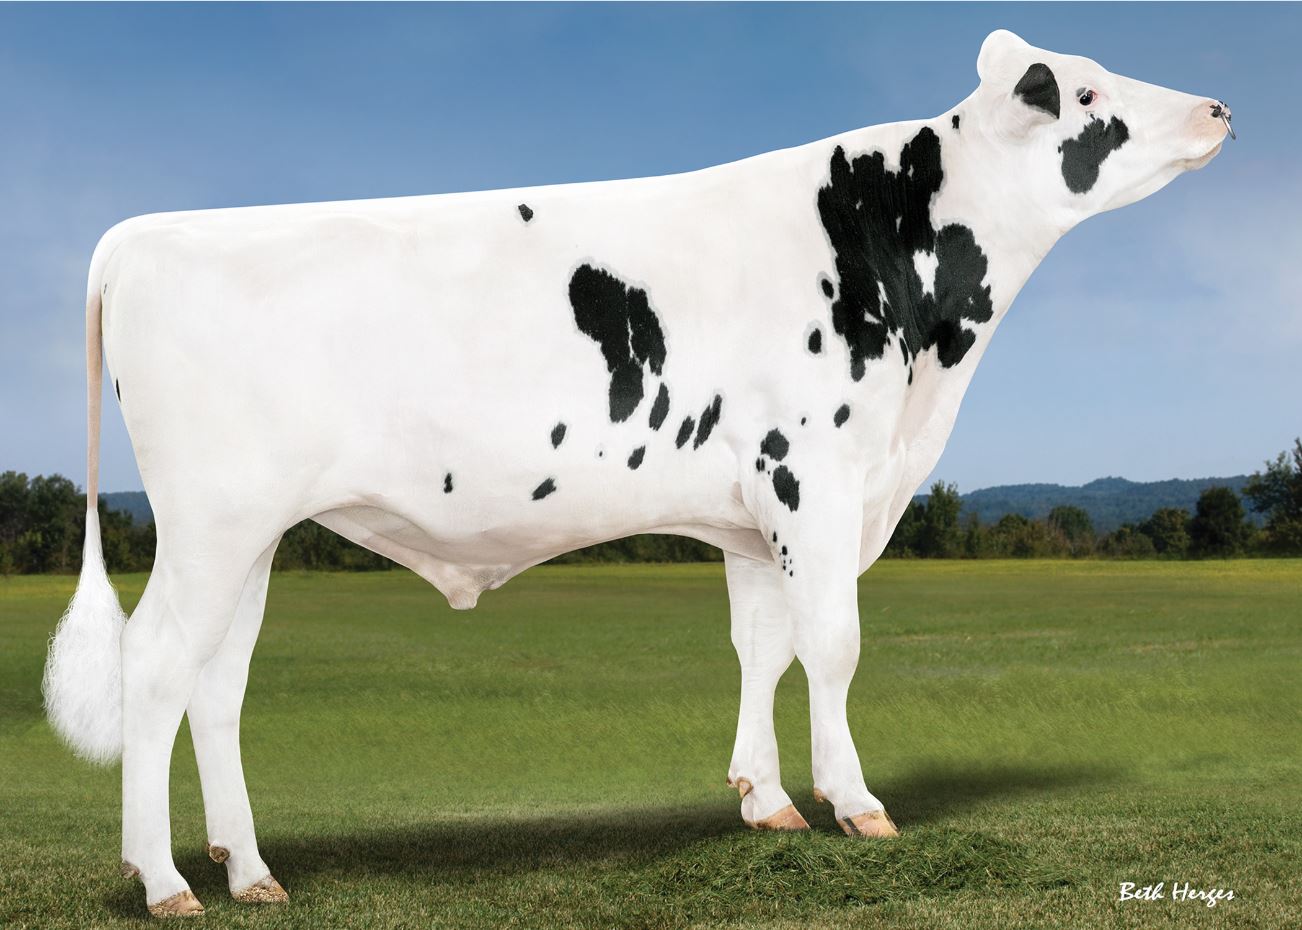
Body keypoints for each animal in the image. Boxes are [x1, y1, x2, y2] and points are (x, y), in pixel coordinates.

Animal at [42, 30, 1230, 918]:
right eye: (1088, 91)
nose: (1219, 109)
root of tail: (139, 235)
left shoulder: (757, 511)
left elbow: (764, 648)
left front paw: (765, 801)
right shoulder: (817, 476)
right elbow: (834, 646)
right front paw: (854, 803)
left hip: (249, 536)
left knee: (215, 687)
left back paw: (248, 872)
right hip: (211, 522)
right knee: (154, 667)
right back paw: (162, 881)